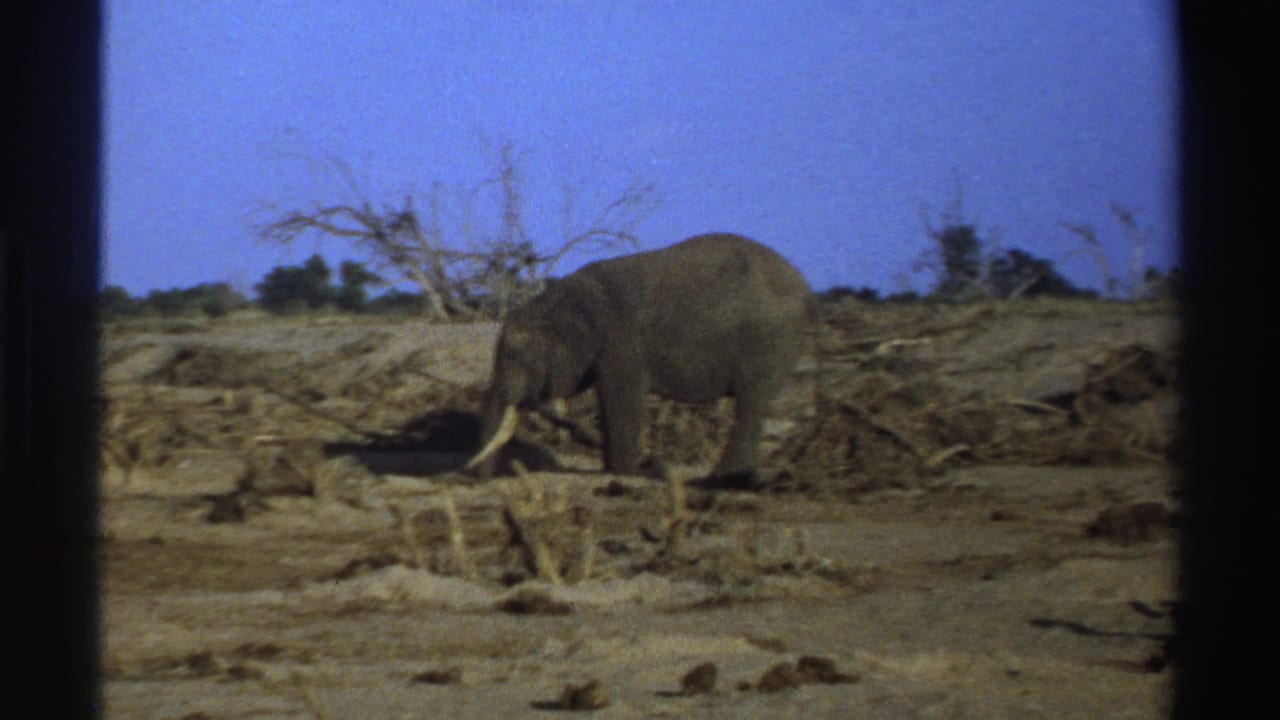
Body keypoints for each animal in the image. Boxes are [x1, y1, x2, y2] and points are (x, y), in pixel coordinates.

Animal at [466, 232, 816, 486]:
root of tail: (805, 287)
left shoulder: (622, 343)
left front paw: (626, 473)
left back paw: (723, 480)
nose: (474, 479)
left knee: (751, 403)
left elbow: (622, 397)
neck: (561, 296)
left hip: (767, 341)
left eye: (517, 356)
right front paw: (619, 469)